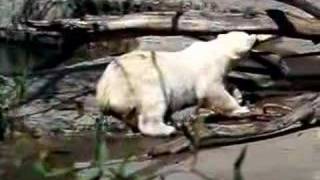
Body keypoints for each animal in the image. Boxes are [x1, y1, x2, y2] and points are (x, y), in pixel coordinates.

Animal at [95, 31, 258, 136]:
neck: (217, 51)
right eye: (248, 36)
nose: (255, 36)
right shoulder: (208, 70)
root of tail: (104, 88)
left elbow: (225, 84)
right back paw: (167, 129)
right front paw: (241, 109)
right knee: (153, 105)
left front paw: (238, 95)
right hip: (143, 82)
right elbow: (211, 91)